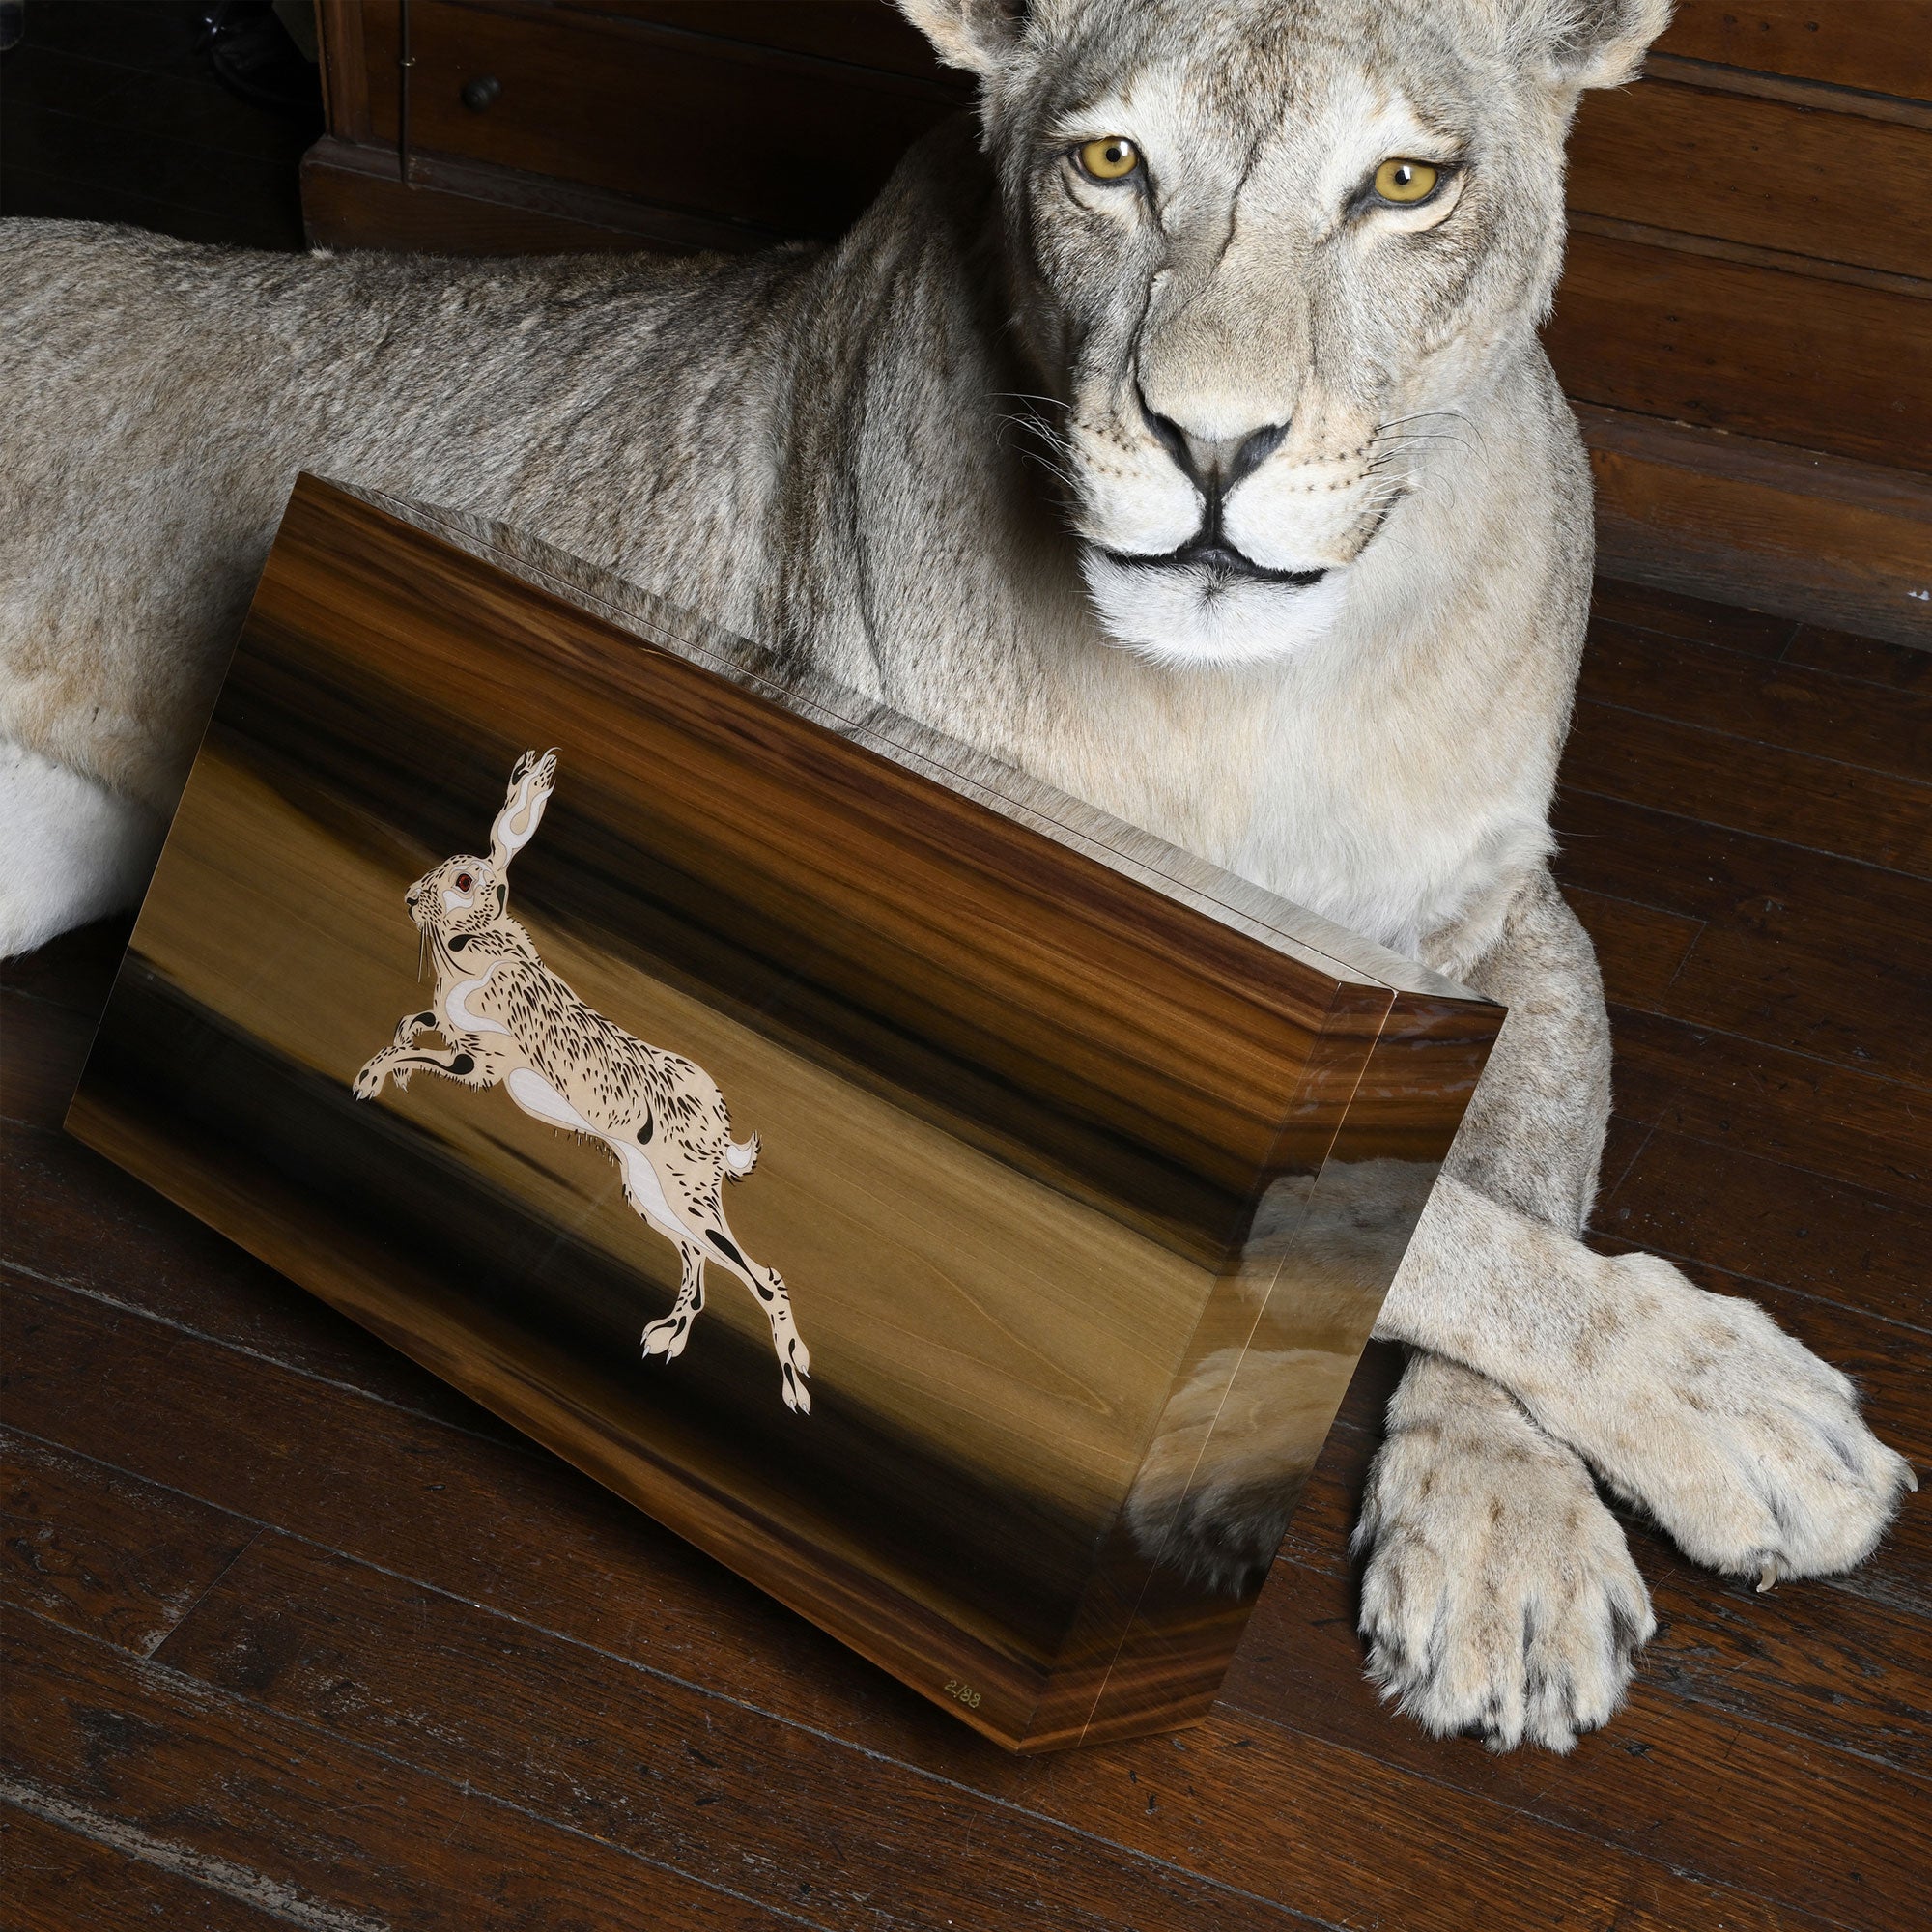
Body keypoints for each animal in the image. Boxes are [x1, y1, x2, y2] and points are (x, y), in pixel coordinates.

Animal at [352, 749, 811, 1414]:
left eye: (463, 883)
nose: (411, 898)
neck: (478, 952)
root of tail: (719, 1128)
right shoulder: (453, 1030)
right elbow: (412, 1026)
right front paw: (384, 1055)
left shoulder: (482, 1063)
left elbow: (415, 1055)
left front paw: (366, 1080)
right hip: (650, 1191)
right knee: (699, 1264)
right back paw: (664, 1339)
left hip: (684, 1190)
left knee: (764, 1278)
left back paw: (796, 1388)